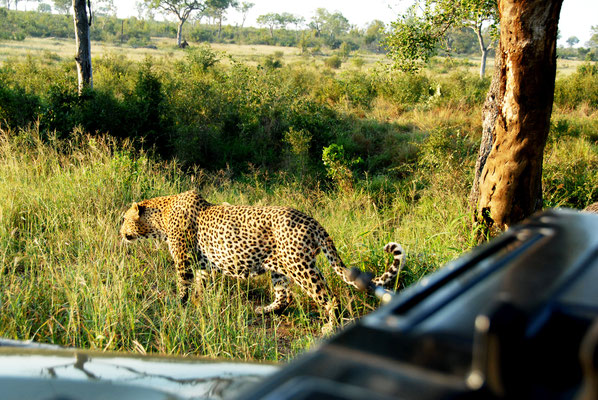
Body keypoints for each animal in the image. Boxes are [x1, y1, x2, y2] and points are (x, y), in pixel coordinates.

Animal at [119, 189, 406, 332]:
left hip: (301, 267)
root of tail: (312, 220)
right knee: (284, 296)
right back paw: (264, 311)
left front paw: (179, 305)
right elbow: (201, 285)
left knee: (327, 297)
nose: (119, 231)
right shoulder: (201, 265)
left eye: (124, 219)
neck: (160, 217)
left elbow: (183, 284)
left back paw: (329, 326)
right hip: (280, 268)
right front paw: (200, 303)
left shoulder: (183, 259)